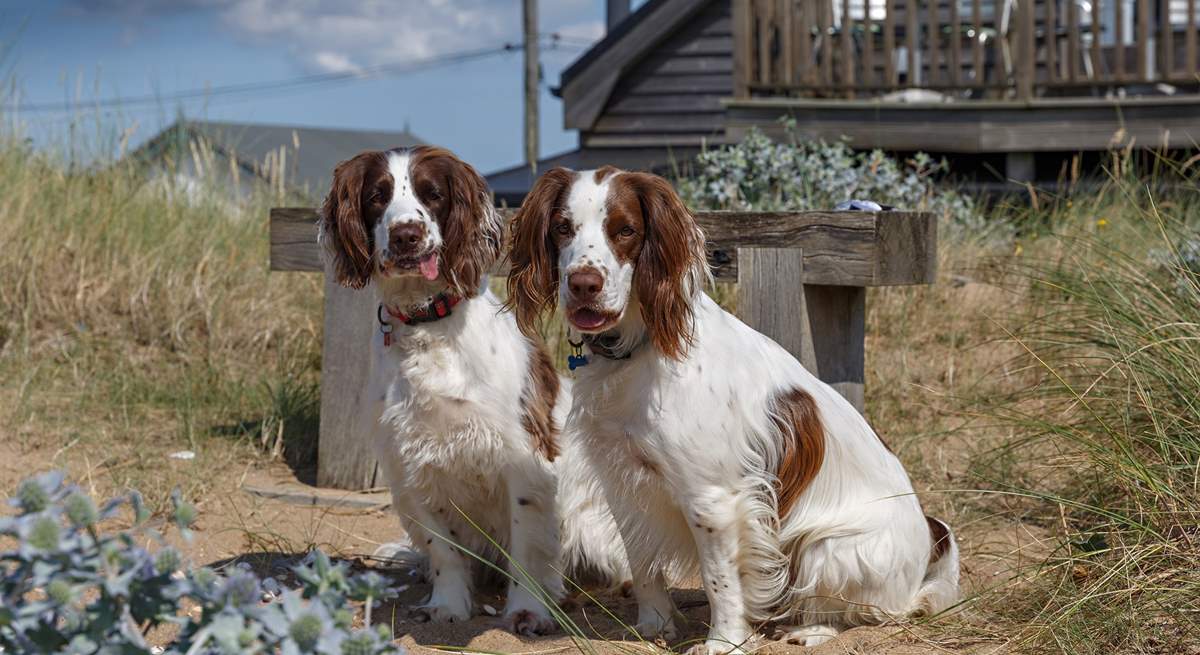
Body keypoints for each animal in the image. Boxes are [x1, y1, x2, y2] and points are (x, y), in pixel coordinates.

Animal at [319, 146, 633, 633]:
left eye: (432, 194)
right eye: (377, 196)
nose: (407, 235)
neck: (428, 326)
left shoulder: (523, 459)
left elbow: (528, 547)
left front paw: (528, 609)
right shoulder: (411, 462)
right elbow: (443, 550)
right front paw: (447, 605)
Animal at [504, 166, 955, 647]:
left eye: (625, 230)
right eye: (562, 227)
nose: (583, 284)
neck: (640, 347)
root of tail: (929, 549)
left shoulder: (713, 499)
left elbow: (719, 578)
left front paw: (723, 642)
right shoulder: (625, 483)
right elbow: (643, 565)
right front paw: (654, 627)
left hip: (829, 547)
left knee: (872, 611)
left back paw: (811, 628)